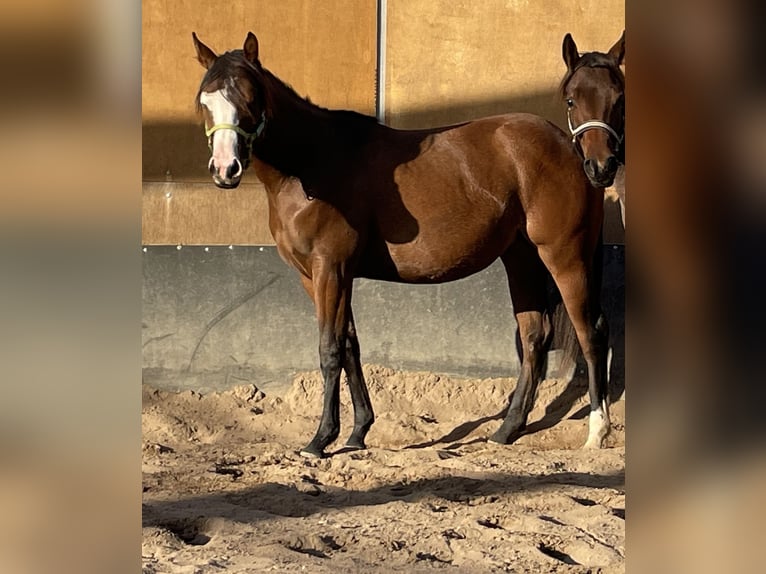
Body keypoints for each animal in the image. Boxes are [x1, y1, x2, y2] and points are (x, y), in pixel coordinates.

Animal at [196, 32, 612, 460]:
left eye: (250, 97)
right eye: (205, 101)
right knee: (533, 337)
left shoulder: (330, 269)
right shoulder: (317, 277)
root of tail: (573, 147)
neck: (312, 163)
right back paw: (506, 430)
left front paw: (321, 439)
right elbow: (350, 345)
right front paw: (358, 431)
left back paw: (597, 432)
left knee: (590, 332)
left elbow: (330, 350)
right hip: (521, 258)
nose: (225, 169)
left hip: (564, 256)